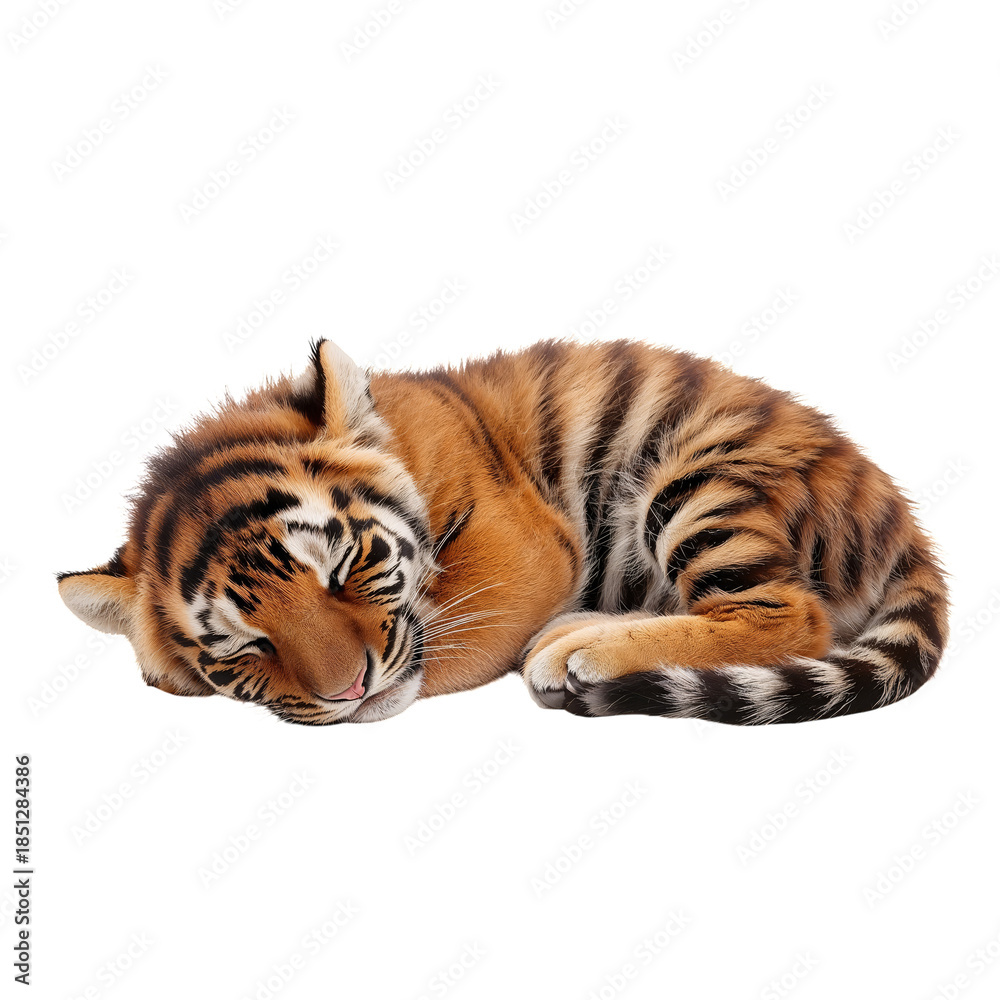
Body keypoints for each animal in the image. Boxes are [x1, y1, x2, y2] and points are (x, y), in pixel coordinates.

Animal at [57, 338, 949, 726]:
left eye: (342, 567)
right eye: (247, 645)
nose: (350, 694)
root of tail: (899, 513)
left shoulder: (516, 549)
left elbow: (457, 633)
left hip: (699, 479)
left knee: (788, 615)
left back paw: (577, 649)